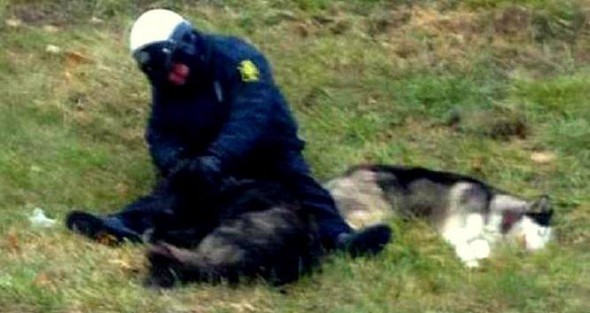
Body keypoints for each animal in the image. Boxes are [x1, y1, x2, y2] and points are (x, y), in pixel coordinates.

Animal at [324, 163, 556, 266]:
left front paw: (479, 253)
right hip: (380, 211)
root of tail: (331, 183)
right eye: (541, 233)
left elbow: (482, 246)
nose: (541, 255)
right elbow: (464, 244)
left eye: (547, 242)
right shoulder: (455, 228)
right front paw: (471, 262)